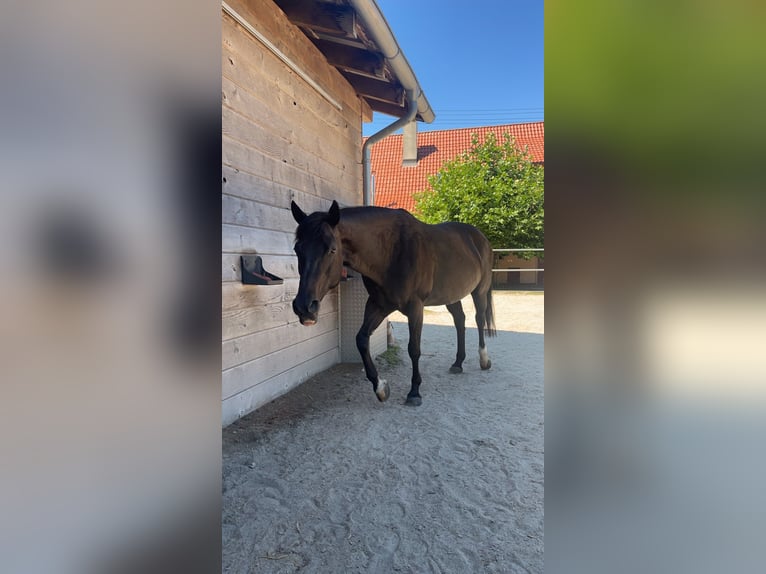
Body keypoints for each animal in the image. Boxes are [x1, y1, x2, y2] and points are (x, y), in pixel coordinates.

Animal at [290, 200, 498, 408]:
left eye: (332, 249)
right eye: (297, 249)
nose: (304, 308)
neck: (392, 252)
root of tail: (480, 238)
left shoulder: (415, 308)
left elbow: (414, 349)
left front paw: (414, 392)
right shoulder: (378, 305)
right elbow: (361, 340)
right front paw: (381, 388)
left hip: (479, 291)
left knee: (479, 319)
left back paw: (484, 359)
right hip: (451, 295)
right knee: (460, 321)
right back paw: (458, 363)